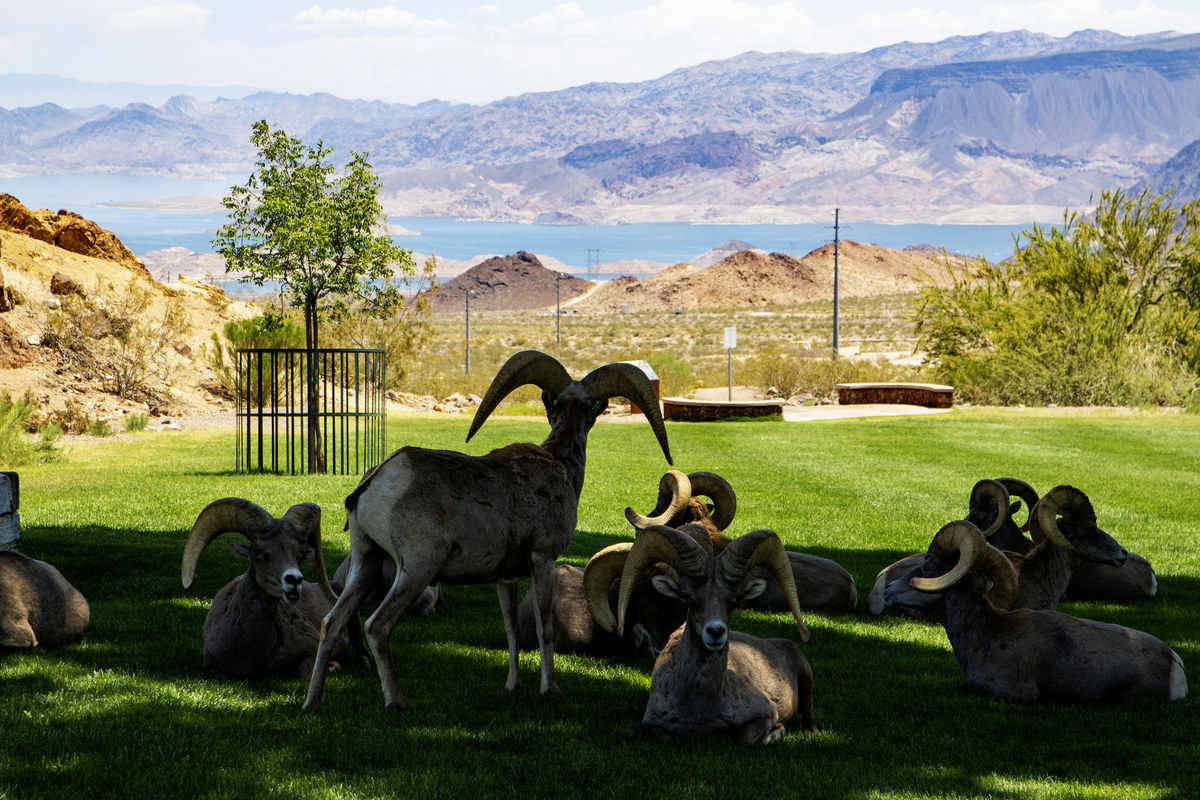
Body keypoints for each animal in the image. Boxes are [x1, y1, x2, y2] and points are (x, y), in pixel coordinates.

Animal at [182, 498, 359, 678]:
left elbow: (303, 672)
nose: (295, 581)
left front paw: (333, 666)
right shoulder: (212, 667)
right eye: (258, 552)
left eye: (300, 556)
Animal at [302, 350, 671, 713]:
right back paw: (398, 703)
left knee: (332, 623)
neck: (560, 465)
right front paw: (551, 691)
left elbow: (511, 629)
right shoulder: (542, 559)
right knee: (377, 627)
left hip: (366, 562)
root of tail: (377, 482)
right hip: (417, 569)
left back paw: (312, 704)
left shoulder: (504, 578)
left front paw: (513, 687)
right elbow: (544, 628)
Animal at [605, 523, 817, 742]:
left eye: (733, 602)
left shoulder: (765, 715)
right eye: (689, 598)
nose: (716, 632)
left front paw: (776, 733)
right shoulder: (653, 726)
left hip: (807, 679)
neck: (700, 709)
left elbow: (747, 739)